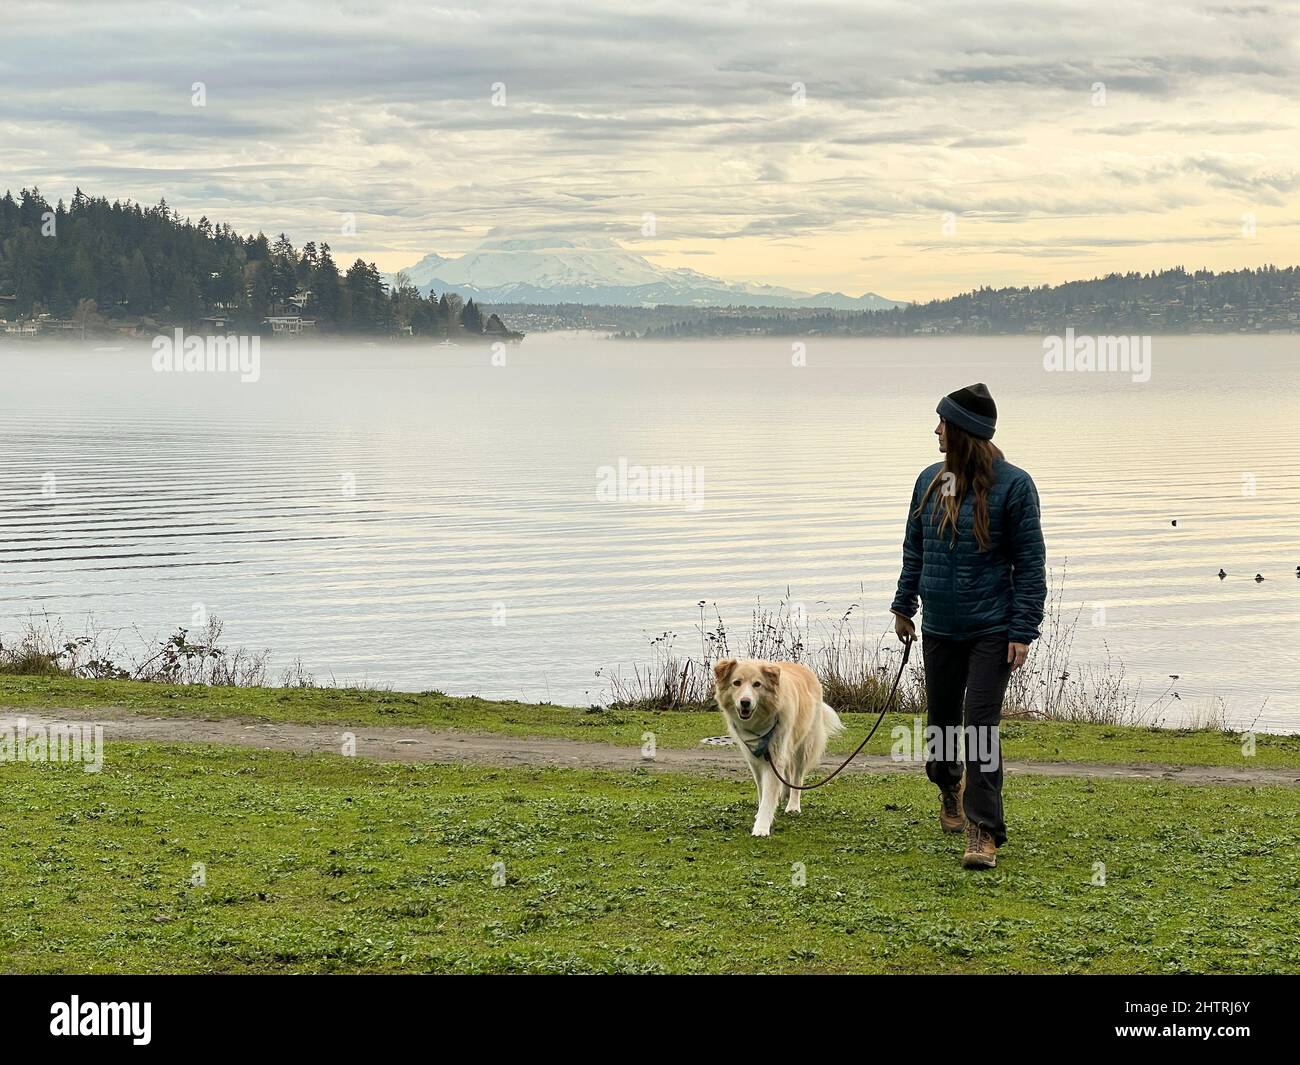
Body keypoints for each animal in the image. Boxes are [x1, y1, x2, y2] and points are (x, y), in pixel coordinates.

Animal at [712, 657, 842, 842]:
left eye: (757, 684)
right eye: (736, 683)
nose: (745, 702)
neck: (759, 725)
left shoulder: (773, 757)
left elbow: (769, 794)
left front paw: (761, 827)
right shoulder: (755, 759)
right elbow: (762, 790)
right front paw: (761, 812)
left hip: (802, 746)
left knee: (797, 777)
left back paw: (793, 805)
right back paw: (784, 793)